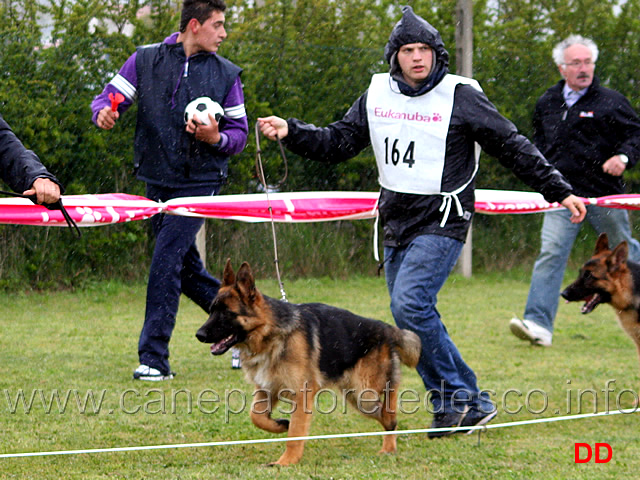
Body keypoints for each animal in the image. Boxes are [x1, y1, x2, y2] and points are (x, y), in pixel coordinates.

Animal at [198, 260, 422, 466]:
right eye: (211, 310)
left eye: (227, 313)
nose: (199, 335)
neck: (271, 334)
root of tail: (387, 329)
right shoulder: (267, 389)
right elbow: (257, 417)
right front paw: (280, 424)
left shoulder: (301, 394)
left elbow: (295, 434)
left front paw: (286, 462)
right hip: (358, 397)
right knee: (384, 410)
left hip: (364, 392)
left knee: (390, 404)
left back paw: (389, 439)